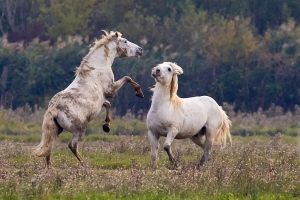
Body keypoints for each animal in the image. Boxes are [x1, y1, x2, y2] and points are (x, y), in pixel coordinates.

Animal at [33, 30, 144, 169]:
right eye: (125, 41)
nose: (140, 50)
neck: (96, 67)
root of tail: (54, 108)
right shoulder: (111, 90)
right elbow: (127, 78)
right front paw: (139, 92)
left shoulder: (103, 99)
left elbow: (108, 104)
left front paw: (106, 126)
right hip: (80, 129)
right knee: (72, 145)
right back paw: (84, 163)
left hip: (56, 130)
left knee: (49, 146)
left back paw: (49, 167)